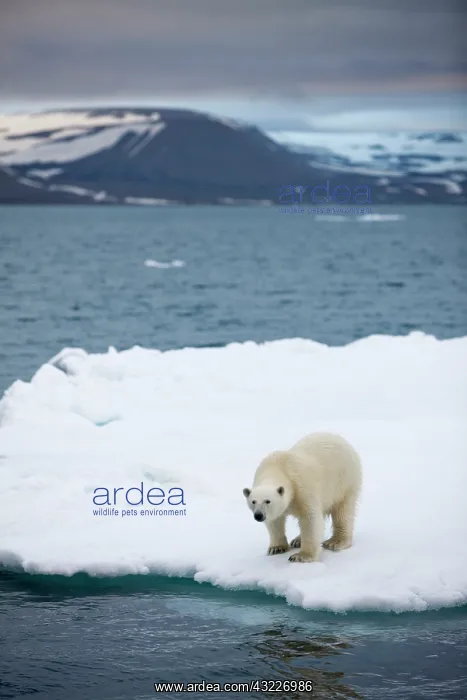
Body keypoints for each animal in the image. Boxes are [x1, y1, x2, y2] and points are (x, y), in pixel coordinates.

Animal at [243, 432, 362, 563]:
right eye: (253, 501)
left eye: (267, 501)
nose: (258, 515)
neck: (278, 467)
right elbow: (275, 521)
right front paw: (276, 548)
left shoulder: (302, 487)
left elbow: (310, 518)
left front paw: (301, 556)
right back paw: (297, 540)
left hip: (344, 481)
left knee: (342, 511)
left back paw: (335, 541)